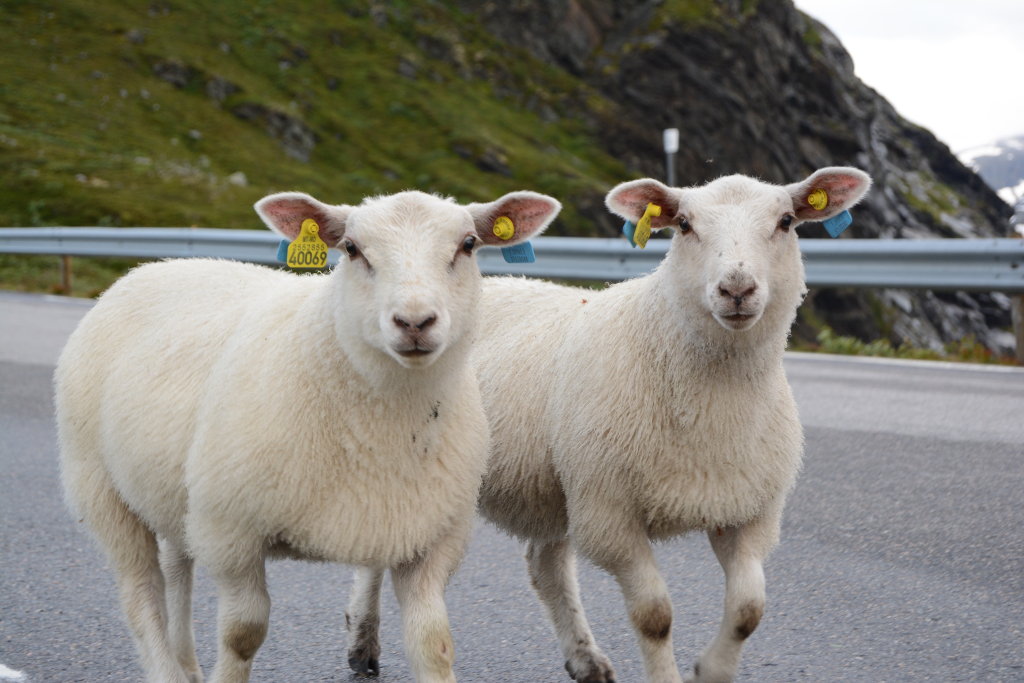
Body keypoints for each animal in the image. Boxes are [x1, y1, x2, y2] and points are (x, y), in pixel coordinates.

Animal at [54, 187, 561, 683]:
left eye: (468, 244)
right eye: (352, 249)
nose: (415, 322)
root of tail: (154, 265)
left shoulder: (430, 540)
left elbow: (434, 642)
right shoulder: (229, 531)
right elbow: (242, 634)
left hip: (175, 494)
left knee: (177, 569)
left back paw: (187, 665)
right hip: (100, 487)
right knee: (141, 594)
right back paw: (167, 667)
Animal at [348, 166, 868, 683]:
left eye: (786, 221)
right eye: (684, 225)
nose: (736, 290)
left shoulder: (748, 512)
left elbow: (748, 609)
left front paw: (711, 669)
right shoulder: (609, 513)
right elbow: (655, 615)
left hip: (555, 482)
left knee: (546, 567)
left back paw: (586, 659)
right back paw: (362, 643)